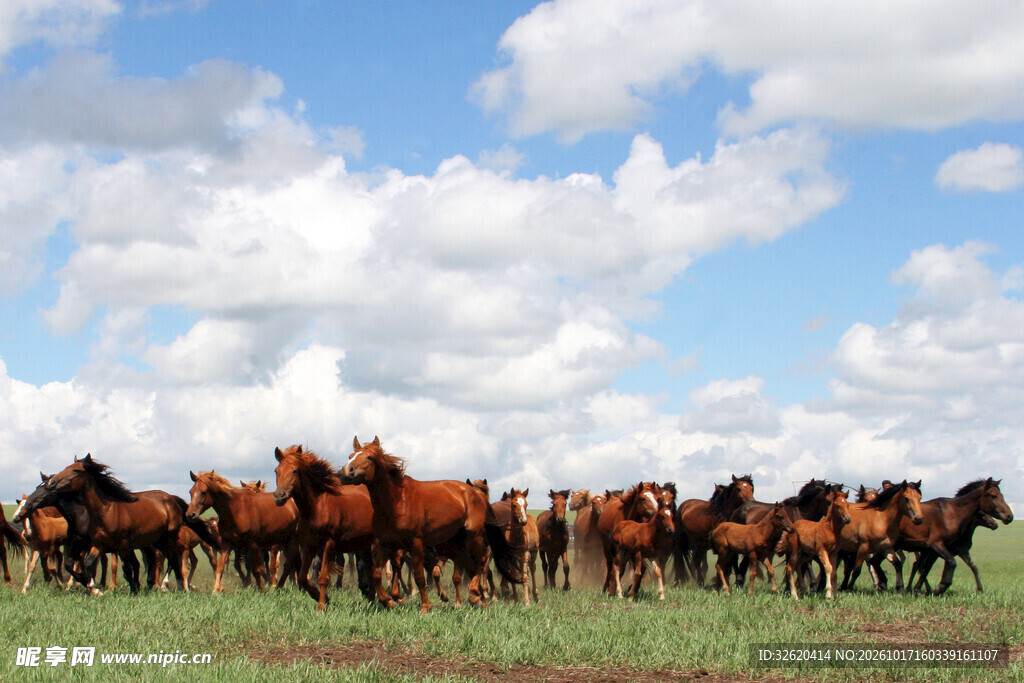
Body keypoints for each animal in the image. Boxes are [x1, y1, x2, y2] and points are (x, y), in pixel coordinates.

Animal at [272, 445, 376, 611]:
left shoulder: (329, 545)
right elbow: (302, 577)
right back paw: (374, 600)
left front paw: (321, 606)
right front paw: (324, 599)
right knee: (371, 569)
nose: (279, 497)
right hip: (363, 545)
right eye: (277, 470)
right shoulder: (309, 546)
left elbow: (323, 577)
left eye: (295, 470)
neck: (318, 506)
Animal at [339, 436, 522, 612]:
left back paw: (476, 595)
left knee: (481, 562)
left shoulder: (415, 542)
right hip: (457, 542)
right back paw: (479, 600)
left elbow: (419, 576)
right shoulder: (386, 543)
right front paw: (388, 601)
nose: (346, 471)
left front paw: (425, 606)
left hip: (473, 535)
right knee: (471, 566)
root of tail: (476, 493)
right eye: (350, 456)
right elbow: (377, 574)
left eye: (369, 457)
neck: (397, 502)